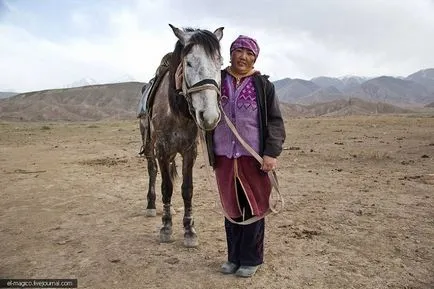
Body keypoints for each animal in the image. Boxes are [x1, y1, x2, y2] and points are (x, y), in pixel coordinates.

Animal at [139, 24, 224, 248]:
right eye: (189, 63)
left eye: (220, 63)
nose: (210, 116)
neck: (176, 111)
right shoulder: (161, 149)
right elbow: (167, 187)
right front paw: (166, 227)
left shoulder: (189, 151)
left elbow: (187, 189)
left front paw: (189, 230)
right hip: (149, 145)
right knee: (152, 171)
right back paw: (151, 205)